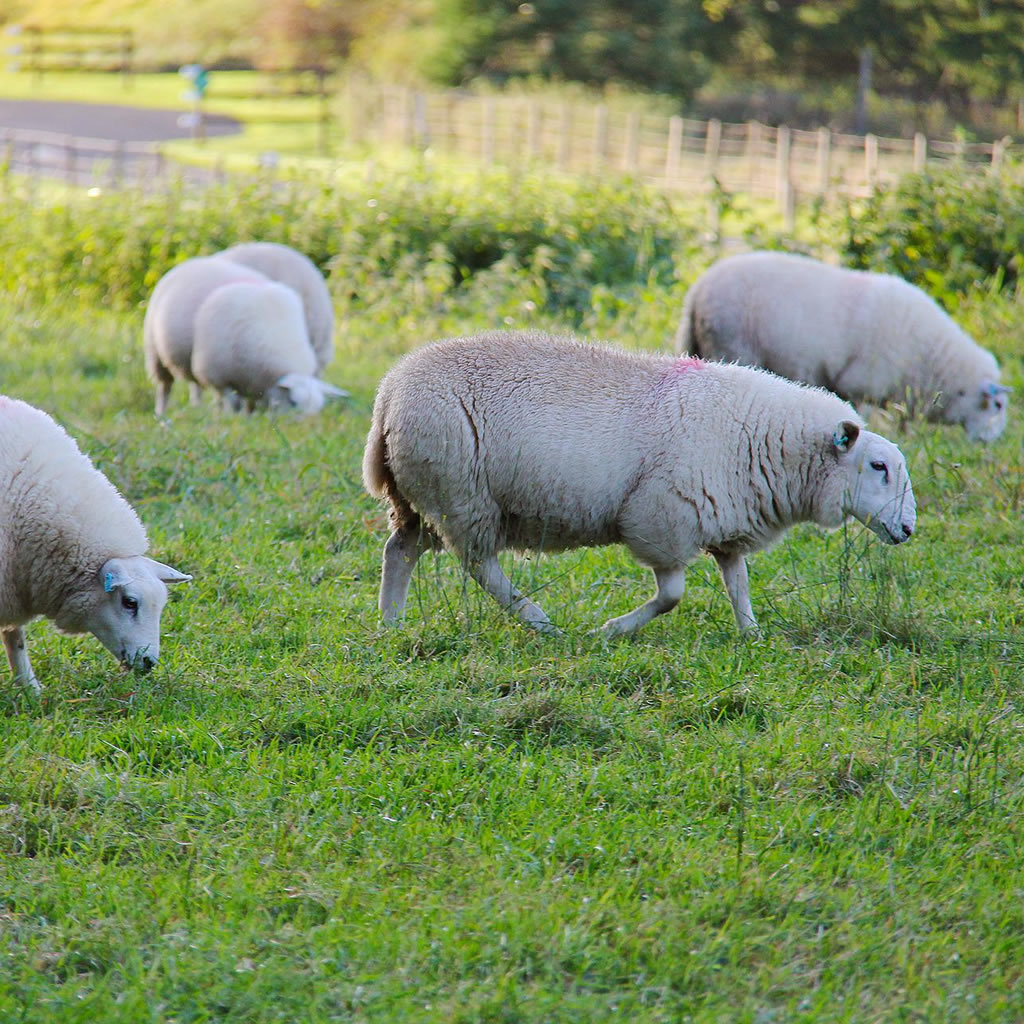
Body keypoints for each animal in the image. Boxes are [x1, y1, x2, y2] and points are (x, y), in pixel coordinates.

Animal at [362, 329, 921, 630]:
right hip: (463, 495)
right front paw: (613, 630)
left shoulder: (726, 526)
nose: (909, 530)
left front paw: (752, 635)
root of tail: (390, 391)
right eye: (878, 467)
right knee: (481, 566)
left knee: (400, 550)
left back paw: (390, 624)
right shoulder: (661, 520)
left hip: (423, 498)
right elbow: (671, 595)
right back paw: (538, 619)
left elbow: (738, 586)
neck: (766, 438)